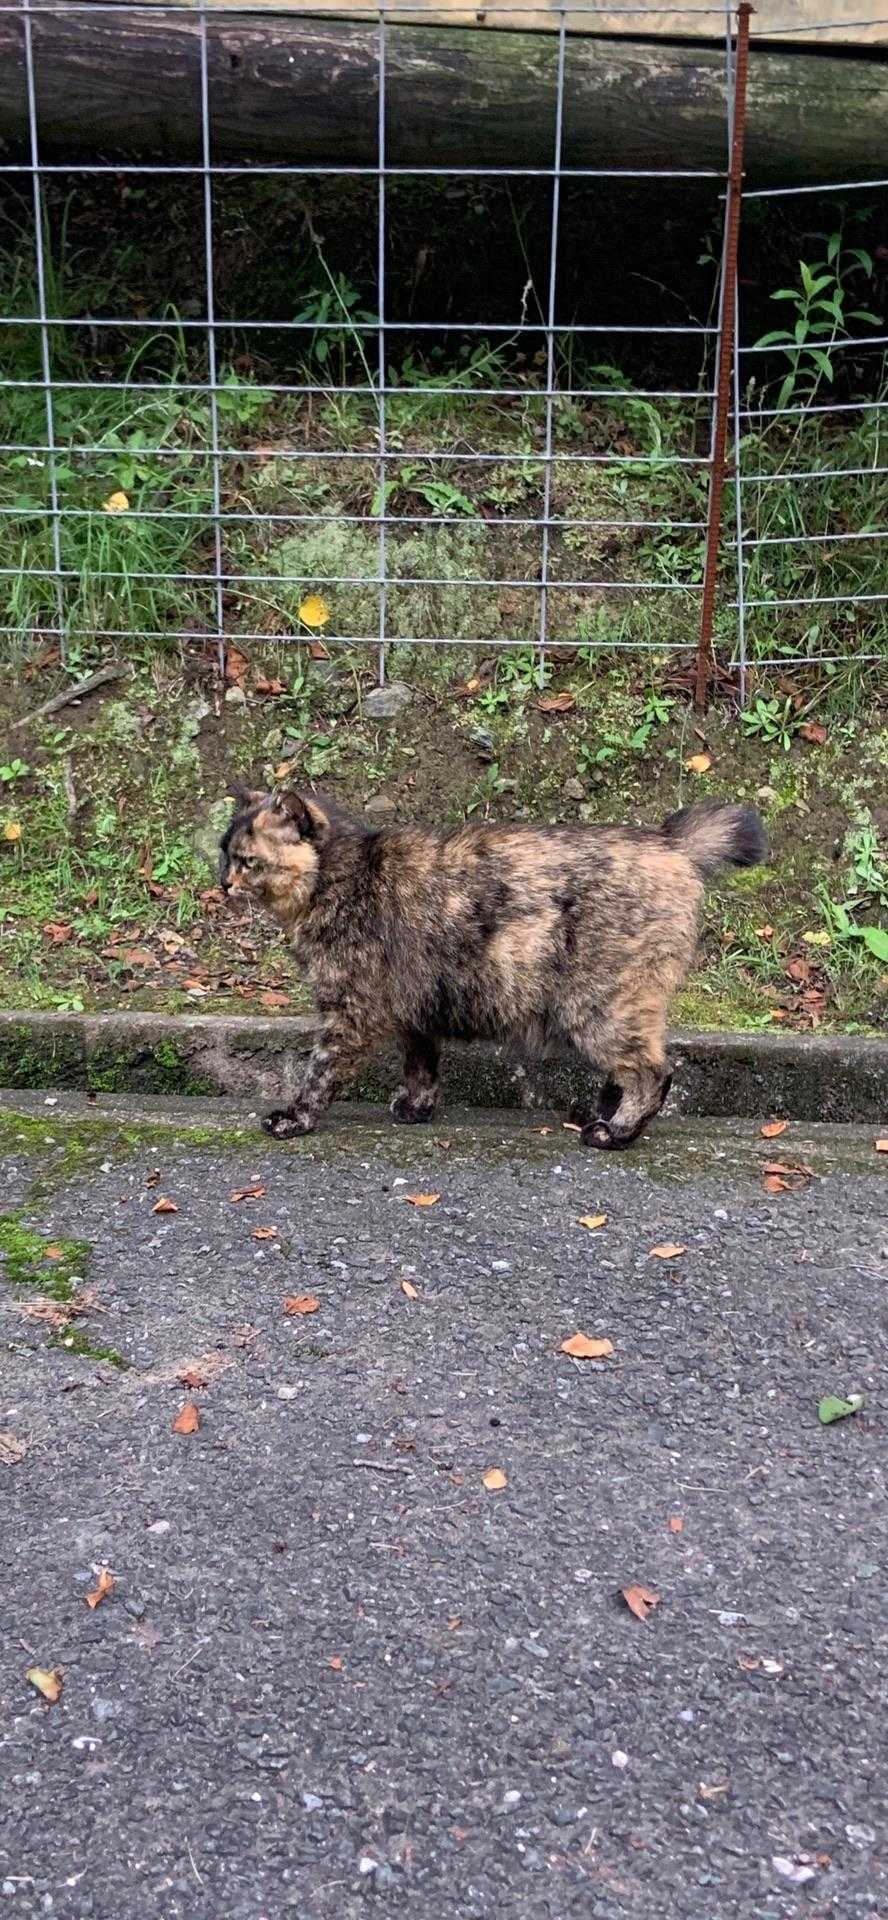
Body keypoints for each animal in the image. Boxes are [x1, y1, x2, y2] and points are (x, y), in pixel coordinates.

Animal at [220, 787, 766, 1149]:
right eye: (223, 855)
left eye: (247, 861)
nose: (223, 882)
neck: (343, 876)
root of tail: (669, 843)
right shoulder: (415, 1010)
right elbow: (421, 1064)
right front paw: (416, 1109)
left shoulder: (350, 1015)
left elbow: (319, 1073)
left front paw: (294, 1119)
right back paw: (600, 1112)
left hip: (600, 1006)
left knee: (653, 1073)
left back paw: (615, 1131)